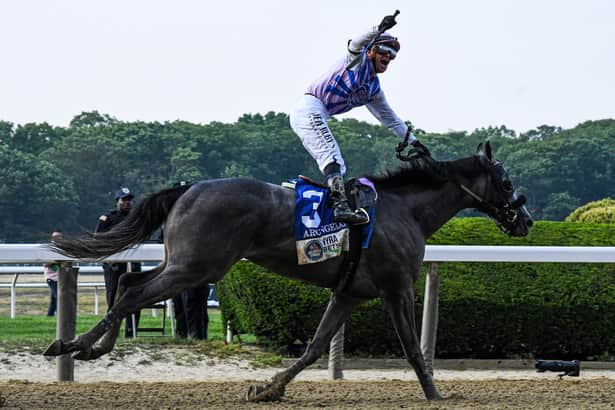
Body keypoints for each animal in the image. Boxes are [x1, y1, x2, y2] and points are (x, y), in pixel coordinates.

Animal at [44, 141, 536, 400]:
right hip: (197, 267)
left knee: (130, 281)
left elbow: (316, 347)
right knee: (132, 292)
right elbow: (413, 348)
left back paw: (90, 347)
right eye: (507, 181)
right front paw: (436, 395)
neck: (405, 212)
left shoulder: (350, 293)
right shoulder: (397, 289)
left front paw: (269, 388)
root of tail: (189, 187)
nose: (526, 220)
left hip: (183, 263)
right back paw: (71, 344)